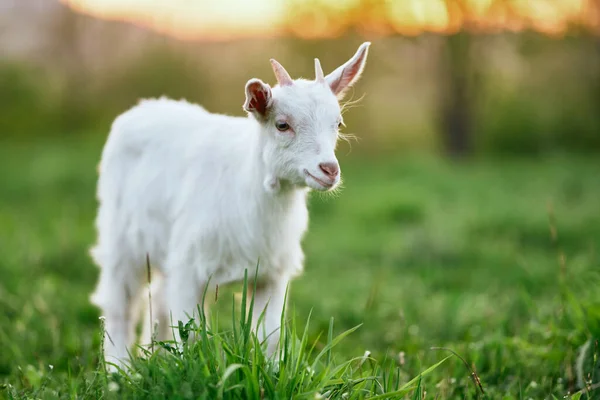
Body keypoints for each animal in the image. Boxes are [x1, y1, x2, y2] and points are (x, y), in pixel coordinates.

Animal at [89, 42, 370, 370]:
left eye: (338, 123)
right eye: (282, 124)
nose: (329, 169)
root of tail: (144, 106)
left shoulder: (271, 273)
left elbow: (270, 335)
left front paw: (271, 371)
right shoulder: (190, 266)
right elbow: (189, 333)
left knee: (157, 299)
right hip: (120, 237)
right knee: (120, 304)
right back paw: (118, 371)